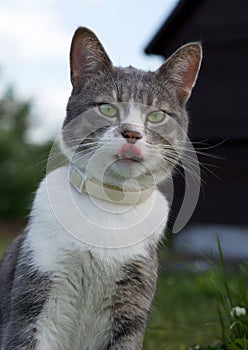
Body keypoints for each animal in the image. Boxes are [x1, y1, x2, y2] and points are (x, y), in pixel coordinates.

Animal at [0, 28, 202, 350]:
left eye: (157, 115)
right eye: (107, 108)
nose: (132, 133)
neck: (109, 205)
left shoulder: (131, 307)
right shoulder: (32, 301)